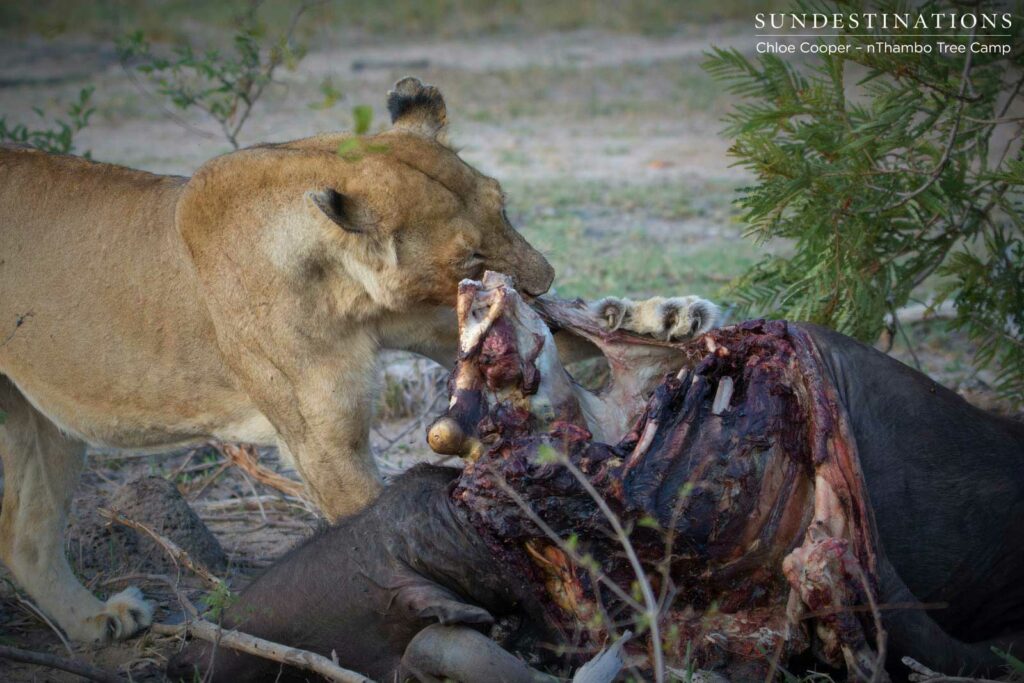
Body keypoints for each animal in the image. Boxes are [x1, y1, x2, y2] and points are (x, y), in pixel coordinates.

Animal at [0, 77, 717, 645]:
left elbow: (567, 333)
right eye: (468, 256)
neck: (342, 283)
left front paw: (667, 314)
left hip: (42, 422)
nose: (543, 280)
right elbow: (370, 529)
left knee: (24, 535)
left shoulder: (432, 319)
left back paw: (95, 622)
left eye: (504, 204)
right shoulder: (325, 442)